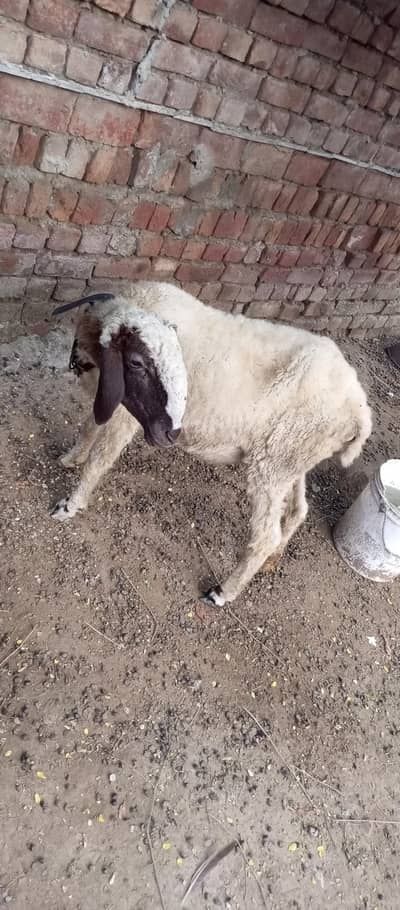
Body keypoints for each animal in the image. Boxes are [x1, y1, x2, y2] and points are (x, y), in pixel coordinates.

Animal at [52, 281, 372, 607]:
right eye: (137, 362)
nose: (170, 432)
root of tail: (358, 410)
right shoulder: (111, 401)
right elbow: (89, 428)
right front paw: (71, 458)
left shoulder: (127, 414)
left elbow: (99, 460)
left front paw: (70, 505)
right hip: (292, 458)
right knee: (298, 510)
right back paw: (274, 556)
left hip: (273, 463)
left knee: (264, 536)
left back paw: (222, 592)